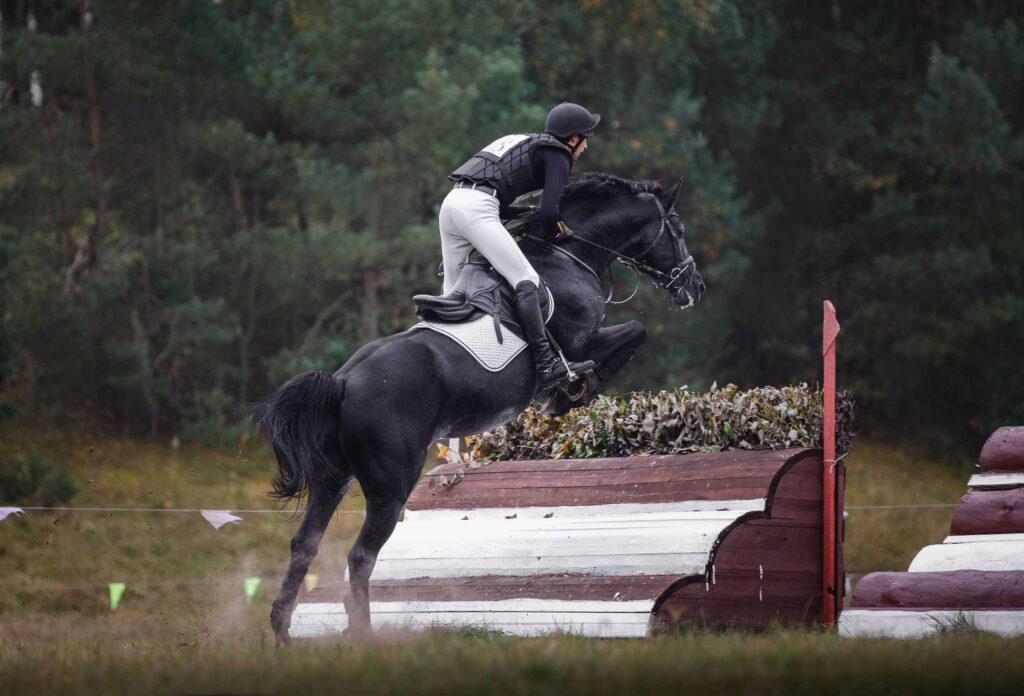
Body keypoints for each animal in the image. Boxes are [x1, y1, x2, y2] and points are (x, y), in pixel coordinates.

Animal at [258, 170, 704, 642]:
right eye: (678, 230)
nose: (696, 287)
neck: (567, 256)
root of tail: (342, 382)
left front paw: (571, 393)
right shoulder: (582, 342)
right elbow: (634, 332)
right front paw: (569, 392)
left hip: (333, 479)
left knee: (304, 545)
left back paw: (283, 631)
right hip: (390, 485)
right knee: (360, 555)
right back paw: (365, 636)